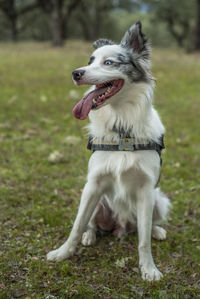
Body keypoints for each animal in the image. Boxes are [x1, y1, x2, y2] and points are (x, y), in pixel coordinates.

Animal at [47, 22, 170, 282]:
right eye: (90, 60)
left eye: (109, 62)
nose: (76, 73)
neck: (122, 128)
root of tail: (120, 227)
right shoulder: (93, 183)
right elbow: (77, 225)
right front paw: (63, 253)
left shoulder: (146, 189)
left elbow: (143, 240)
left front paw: (149, 269)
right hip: (96, 200)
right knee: (91, 224)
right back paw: (89, 236)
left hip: (159, 200)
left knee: (144, 227)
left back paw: (157, 230)